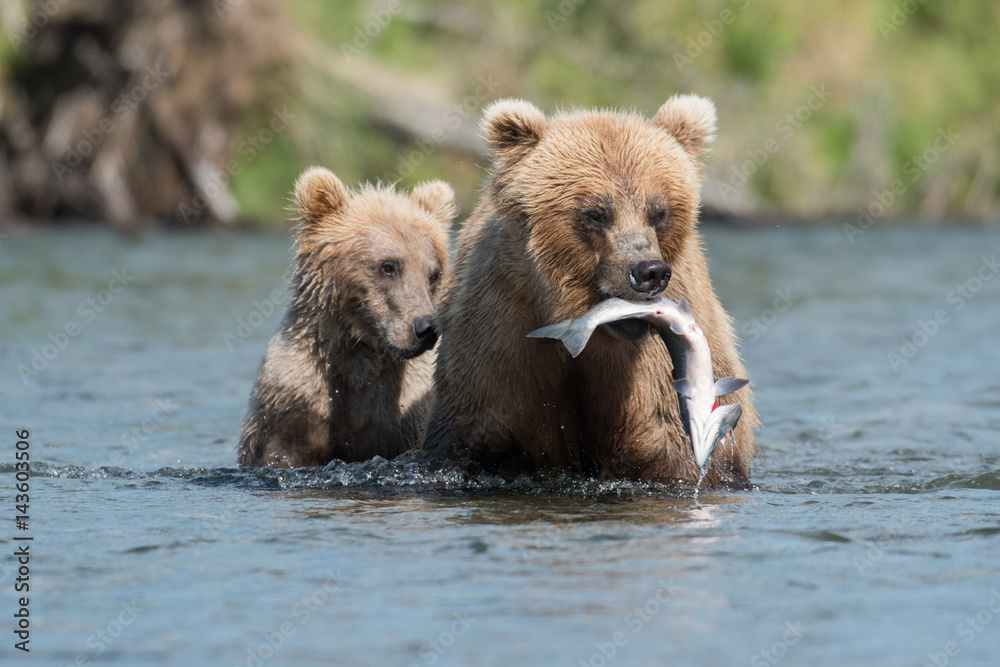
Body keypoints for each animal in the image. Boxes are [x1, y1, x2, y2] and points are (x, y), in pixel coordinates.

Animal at [238, 167, 455, 468]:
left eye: (433, 274)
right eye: (388, 266)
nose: (425, 328)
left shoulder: (406, 411)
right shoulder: (295, 395)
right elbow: (280, 451)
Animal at [421, 95, 759, 489]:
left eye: (658, 211)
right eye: (596, 212)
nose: (649, 272)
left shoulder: (648, 367)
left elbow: (666, 444)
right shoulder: (500, 327)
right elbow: (470, 432)